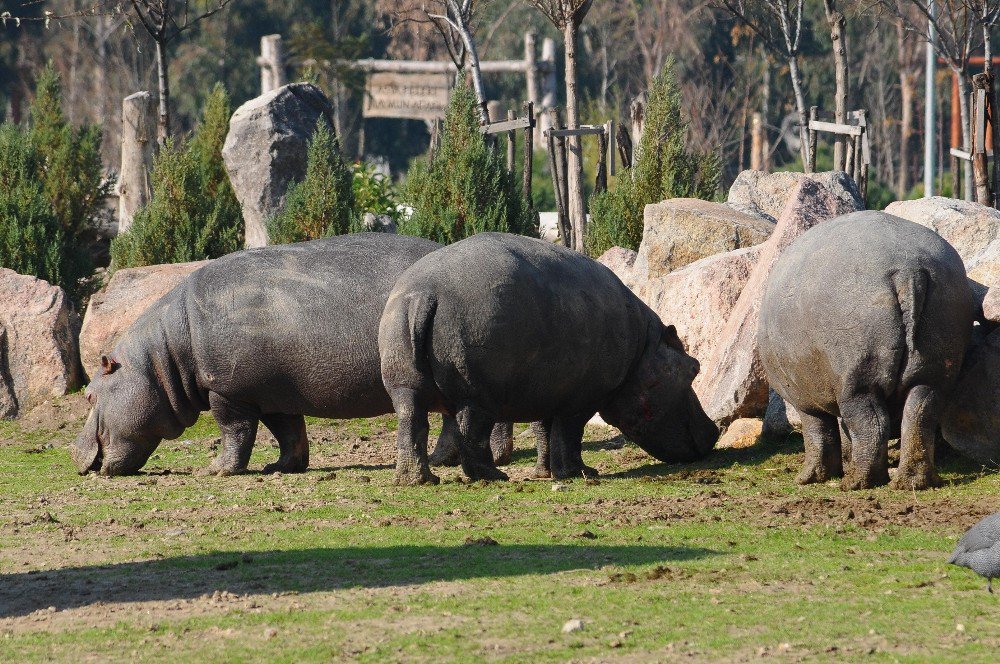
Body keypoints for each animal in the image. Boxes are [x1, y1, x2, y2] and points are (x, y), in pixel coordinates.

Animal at [69, 233, 504, 478]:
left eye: (89, 395)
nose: (73, 454)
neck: (163, 358)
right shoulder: (275, 394)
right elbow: (289, 433)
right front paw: (281, 468)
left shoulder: (228, 392)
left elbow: (235, 432)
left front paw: (216, 471)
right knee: (451, 417)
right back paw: (445, 459)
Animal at [376, 232, 720, 482]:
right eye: (694, 368)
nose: (714, 430)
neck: (643, 350)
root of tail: (424, 293)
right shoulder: (582, 398)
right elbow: (569, 434)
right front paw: (581, 473)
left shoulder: (547, 388)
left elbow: (544, 430)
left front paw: (545, 474)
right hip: (476, 394)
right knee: (469, 433)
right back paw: (493, 476)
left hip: (403, 382)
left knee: (411, 423)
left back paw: (416, 480)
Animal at [760, 210, 972, 490]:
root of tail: (909, 268)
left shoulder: (804, 399)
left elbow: (819, 432)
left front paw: (807, 479)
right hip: (936, 366)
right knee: (919, 416)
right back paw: (913, 482)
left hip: (858, 377)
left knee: (870, 422)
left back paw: (856, 483)